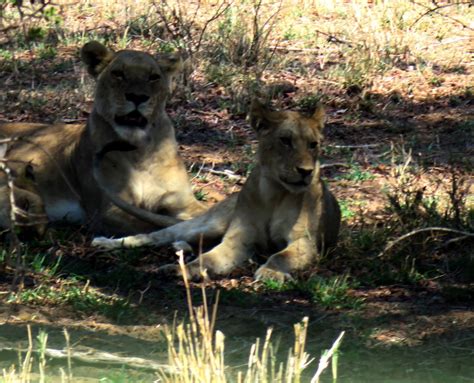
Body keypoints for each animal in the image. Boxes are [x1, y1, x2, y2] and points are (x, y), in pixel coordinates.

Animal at [1, 42, 206, 234]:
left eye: (153, 77)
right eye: (118, 74)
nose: (137, 97)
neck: (139, 152)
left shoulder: (182, 202)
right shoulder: (107, 211)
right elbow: (154, 225)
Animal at [92, 102, 340, 282]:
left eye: (313, 144)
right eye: (285, 141)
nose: (306, 171)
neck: (275, 192)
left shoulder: (305, 242)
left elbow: (280, 256)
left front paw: (271, 273)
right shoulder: (238, 240)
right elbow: (206, 260)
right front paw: (180, 270)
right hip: (207, 224)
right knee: (154, 236)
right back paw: (106, 243)